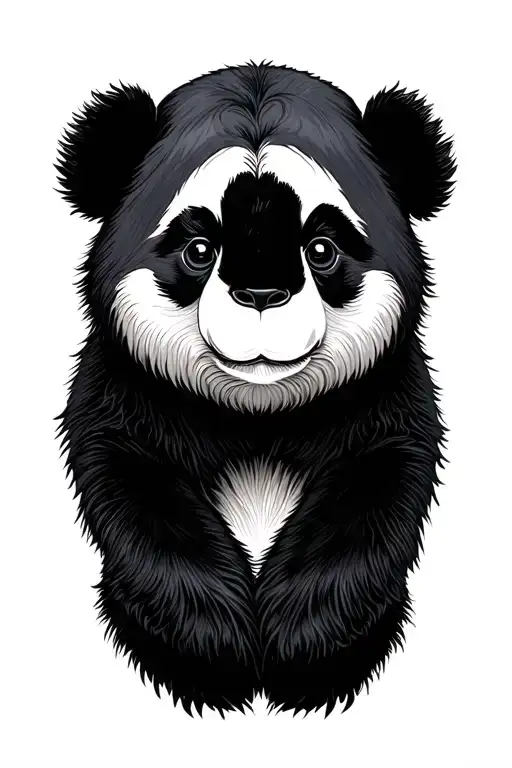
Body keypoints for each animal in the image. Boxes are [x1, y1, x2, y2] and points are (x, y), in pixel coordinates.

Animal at [56, 60, 456, 717]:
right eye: (199, 247)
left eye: (321, 247)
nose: (262, 295)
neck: (257, 411)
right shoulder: (123, 393)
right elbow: (134, 488)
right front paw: (213, 649)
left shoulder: (386, 397)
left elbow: (375, 490)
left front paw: (304, 648)